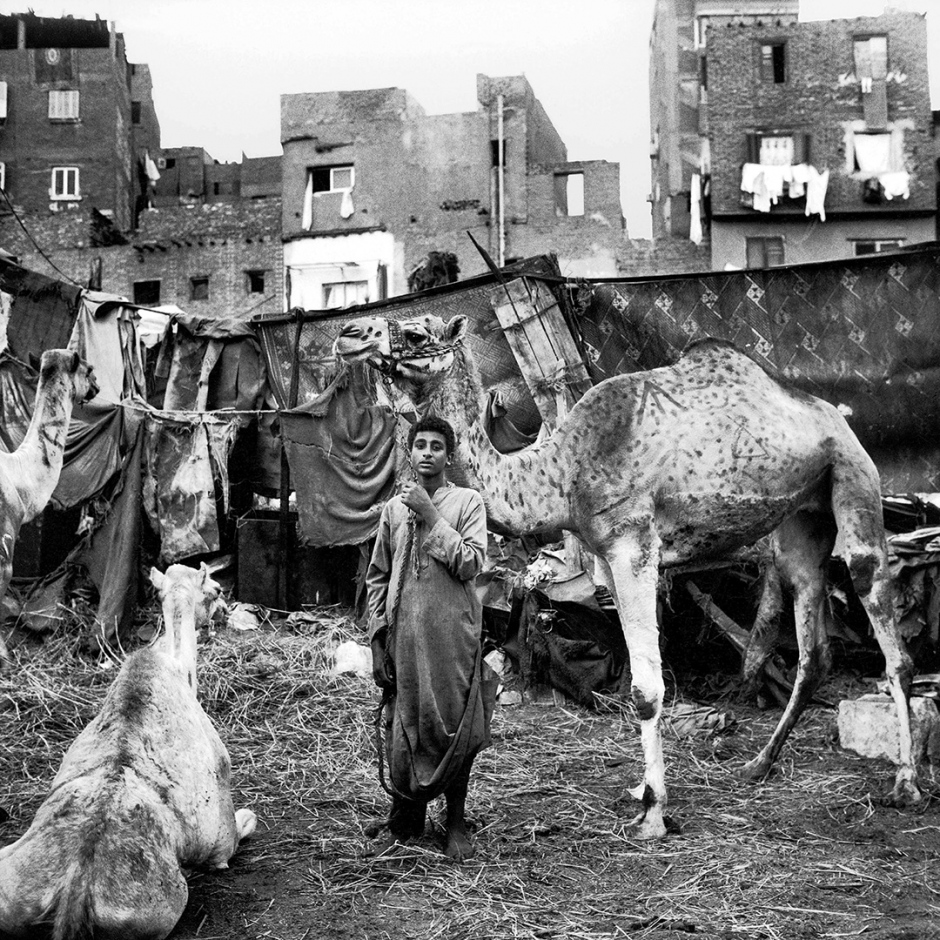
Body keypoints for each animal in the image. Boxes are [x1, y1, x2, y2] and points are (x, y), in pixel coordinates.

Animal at [333, 312, 920, 839]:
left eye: (416, 333)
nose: (348, 333)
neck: (560, 473)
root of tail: (834, 415)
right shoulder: (606, 558)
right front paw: (642, 791)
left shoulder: (632, 544)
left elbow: (646, 689)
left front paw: (655, 813)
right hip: (801, 519)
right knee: (813, 645)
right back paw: (760, 763)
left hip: (853, 478)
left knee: (886, 630)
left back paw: (906, 783)